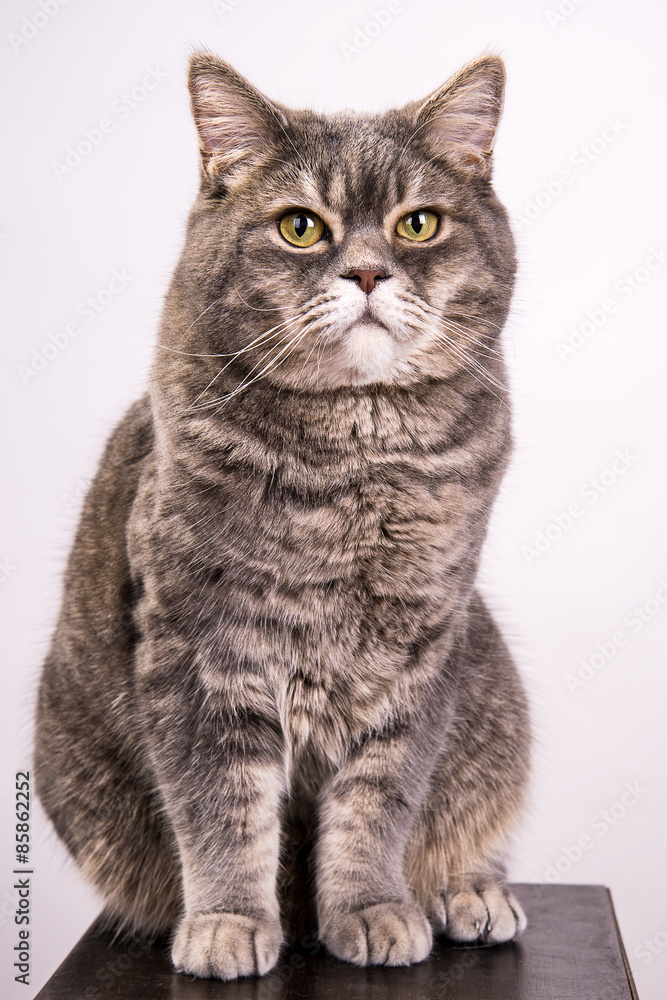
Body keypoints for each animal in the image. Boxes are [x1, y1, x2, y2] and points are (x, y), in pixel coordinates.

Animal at [34, 50, 532, 980]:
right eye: (301, 227)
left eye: (417, 224)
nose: (368, 272)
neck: (355, 462)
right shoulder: (201, 650)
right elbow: (221, 805)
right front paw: (227, 923)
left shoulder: (421, 648)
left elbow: (381, 797)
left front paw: (371, 907)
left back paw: (468, 892)